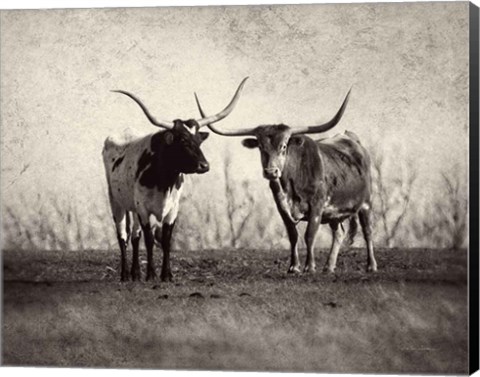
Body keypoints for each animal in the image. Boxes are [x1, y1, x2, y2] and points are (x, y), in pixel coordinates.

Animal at [104, 78, 248, 280]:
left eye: (199, 141)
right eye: (183, 141)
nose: (204, 166)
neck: (164, 180)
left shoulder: (172, 210)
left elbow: (165, 241)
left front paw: (167, 275)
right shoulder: (143, 209)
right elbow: (149, 241)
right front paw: (151, 274)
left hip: (132, 206)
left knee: (134, 237)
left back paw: (136, 274)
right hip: (116, 201)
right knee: (122, 236)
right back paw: (125, 275)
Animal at [196, 88, 378, 274]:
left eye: (283, 146)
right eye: (260, 147)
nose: (271, 172)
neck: (292, 183)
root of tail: (351, 138)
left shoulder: (317, 205)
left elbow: (309, 234)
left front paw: (309, 266)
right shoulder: (282, 207)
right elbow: (293, 235)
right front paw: (294, 266)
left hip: (366, 203)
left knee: (368, 231)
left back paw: (371, 265)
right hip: (335, 211)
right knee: (339, 232)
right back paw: (328, 267)